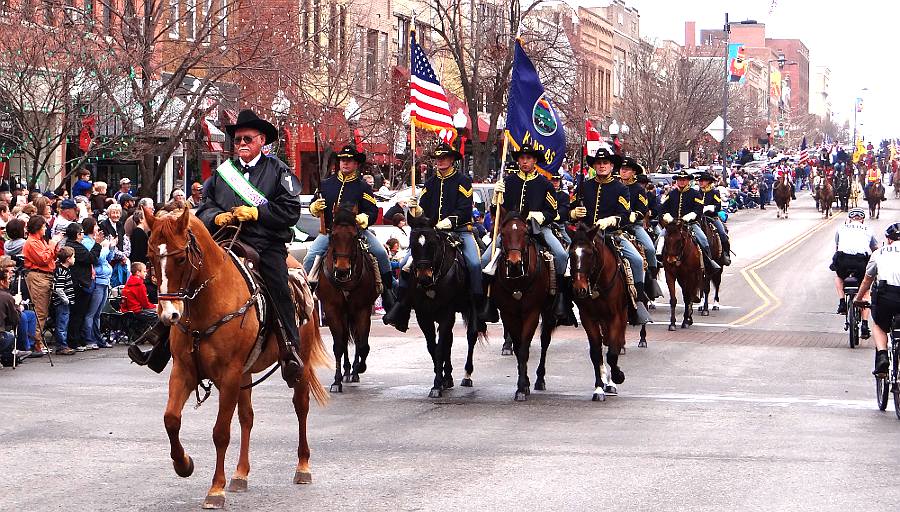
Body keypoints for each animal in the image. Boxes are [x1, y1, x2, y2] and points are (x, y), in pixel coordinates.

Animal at [146, 207, 328, 508]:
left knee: (301, 407)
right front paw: (183, 464)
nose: (168, 314)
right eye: (150, 258)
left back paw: (303, 467)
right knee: (247, 417)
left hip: (296, 366)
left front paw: (215, 490)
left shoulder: (228, 376)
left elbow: (220, 432)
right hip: (245, 374)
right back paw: (240, 474)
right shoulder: (184, 371)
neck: (206, 305)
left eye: (181, 258)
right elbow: (171, 419)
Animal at [316, 206, 380, 394]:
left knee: (357, 339)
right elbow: (338, 345)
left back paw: (354, 371)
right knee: (344, 339)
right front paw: (336, 381)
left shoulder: (362, 309)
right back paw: (345, 371)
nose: (342, 270)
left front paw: (359, 368)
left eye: (354, 236)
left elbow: (363, 344)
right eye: (332, 236)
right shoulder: (331, 309)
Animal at [492, 212, 556, 400]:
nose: (514, 264)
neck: (517, 283)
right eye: (503, 234)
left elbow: (524, 350)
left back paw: (540, 379)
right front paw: (523, 384)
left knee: (545, 341)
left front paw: (521, 387)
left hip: (548, 312)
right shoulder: (508, 313)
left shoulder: (532, 313)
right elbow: (518, 345)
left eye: (526, 234)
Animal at [568, 226, 624, 402]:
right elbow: (595, 352)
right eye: (571, 253)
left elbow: (613, 352)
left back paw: (611, 381)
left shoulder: (616, 317)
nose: (580, 289)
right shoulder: (588, 318)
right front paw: (599, 388)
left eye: (590, 253)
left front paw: (617, 376)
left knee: (616, 343)